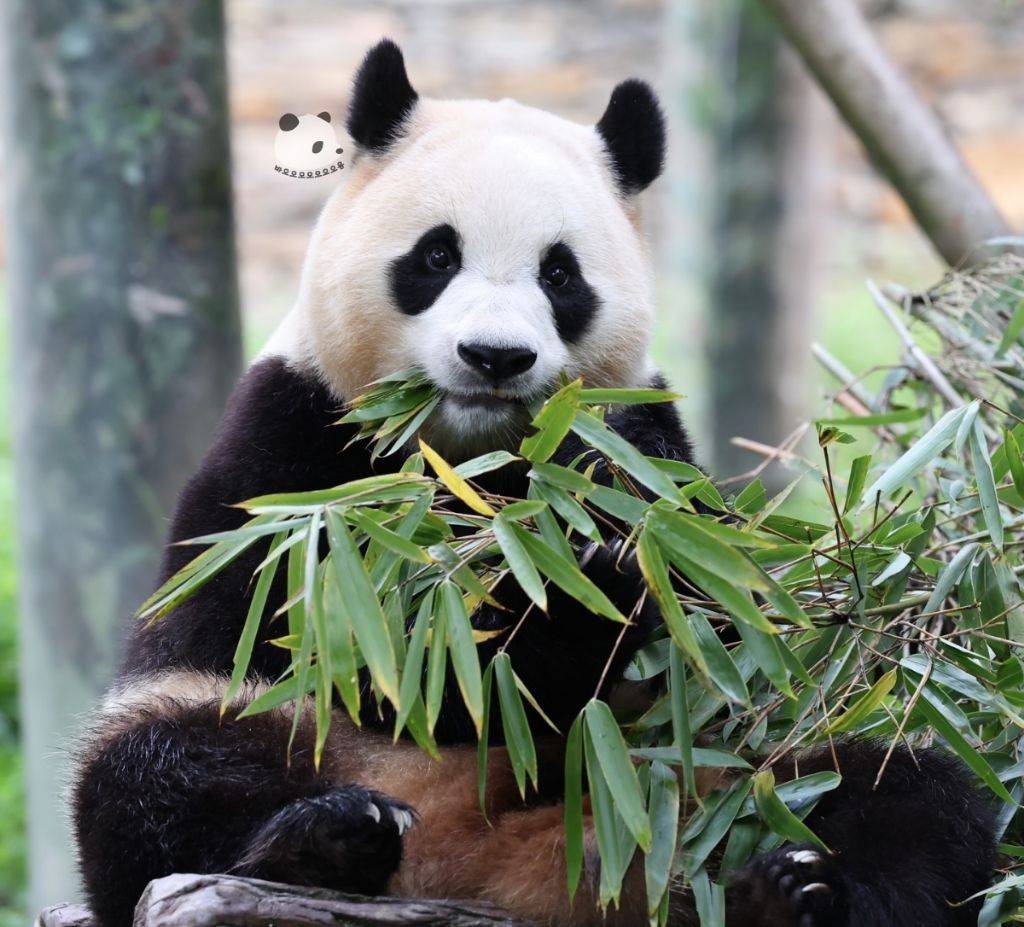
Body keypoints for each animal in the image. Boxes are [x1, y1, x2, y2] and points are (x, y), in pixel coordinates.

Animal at [74, 36, 999, 925]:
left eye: (561, 273)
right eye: (436, 255)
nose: (495, 356)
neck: (468, 460)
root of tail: (478, 863)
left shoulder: (667, 463)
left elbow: (716, 608)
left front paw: (603, 554)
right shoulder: (290, 455)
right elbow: (357, 641)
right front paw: (560, 604)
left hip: (737, 754)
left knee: (902, 787)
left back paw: (795, 891)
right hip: (262, 729)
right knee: (155, 774)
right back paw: (324, 841)